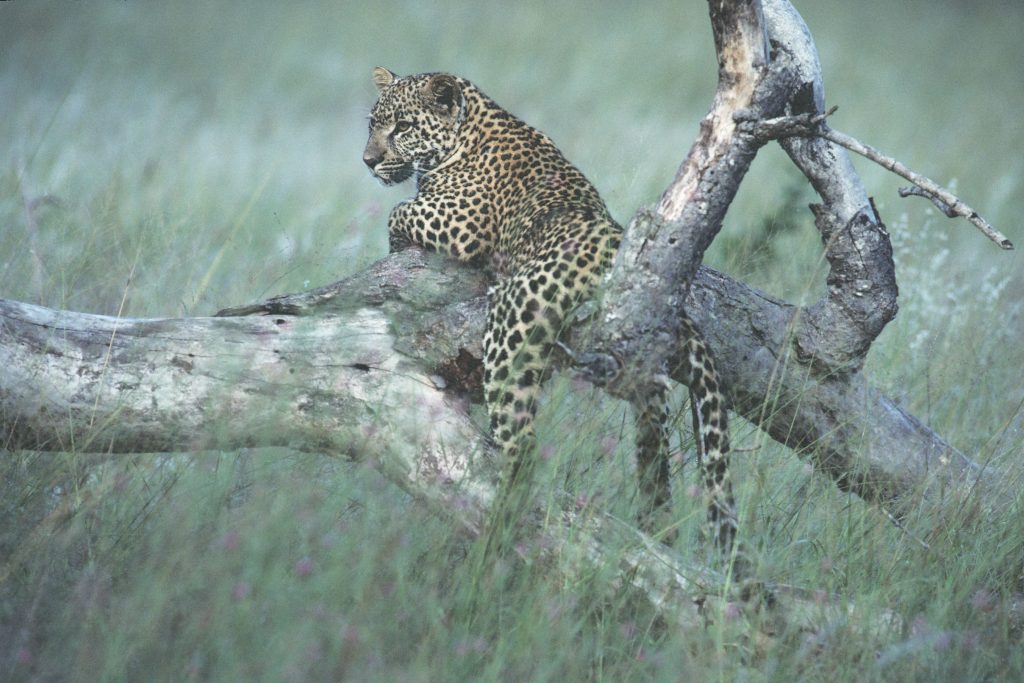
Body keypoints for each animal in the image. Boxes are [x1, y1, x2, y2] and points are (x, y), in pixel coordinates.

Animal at [360, 66, 737, 561]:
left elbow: (397, 211)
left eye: (402, 127)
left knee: (521, 448)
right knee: (654, 448)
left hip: (510, 333)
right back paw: (656, 527)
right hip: (646, 372)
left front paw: (395, 243)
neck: (468, 129)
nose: (367, 161)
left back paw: (497, 532)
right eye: (372, 124)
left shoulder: (460, 223)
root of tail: (613, 247)